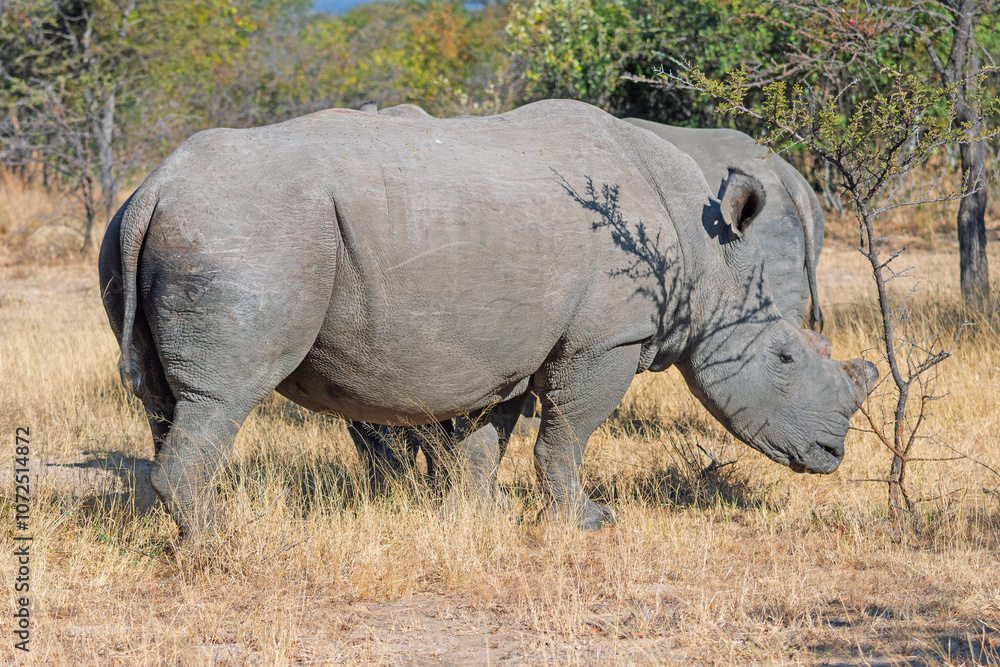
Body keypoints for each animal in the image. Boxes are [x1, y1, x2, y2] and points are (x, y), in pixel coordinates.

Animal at [99, 99, 876, 536]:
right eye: (784, 359)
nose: (831, 454)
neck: (708, 255)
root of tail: (155, 187)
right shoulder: (606, 338)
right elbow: (567, 435)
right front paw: (587, 525)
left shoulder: (508, 344)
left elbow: (487, 438)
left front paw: (480, 515)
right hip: (251, 233)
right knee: (224, 396)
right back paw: (226, 545)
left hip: (168, 230)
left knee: (163, 399)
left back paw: (171, 533)